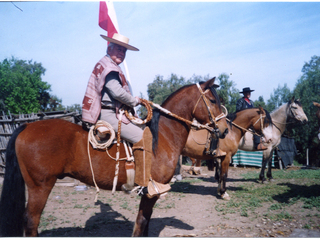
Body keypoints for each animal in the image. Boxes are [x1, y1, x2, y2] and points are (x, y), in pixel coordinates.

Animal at [0, 78, 228, 236]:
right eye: (212, 100)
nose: (225, 130)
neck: (162, 136)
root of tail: (27, 126)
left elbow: (145, 222)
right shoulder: (150, 192)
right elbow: (141, 223)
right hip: (40, 186)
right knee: (31, 221)